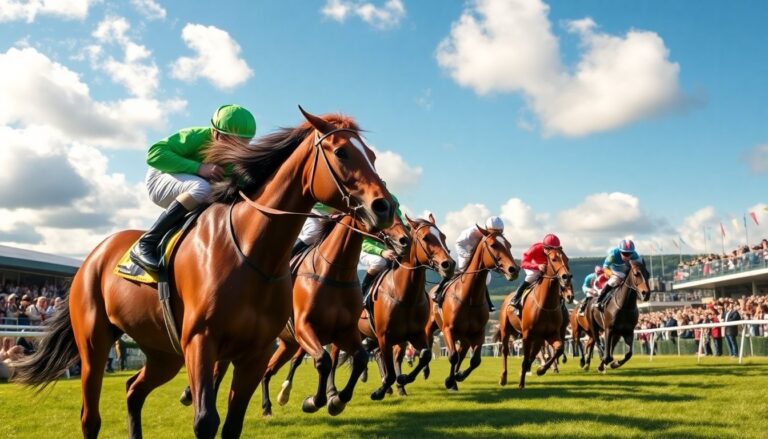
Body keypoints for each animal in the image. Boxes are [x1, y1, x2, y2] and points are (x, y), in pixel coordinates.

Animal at [259, 214, 410, 417]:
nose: (404, 240)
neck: (334, 273)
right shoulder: (304, 327)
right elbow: (324, 361)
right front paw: (313, 402)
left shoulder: (345, 331)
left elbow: (360, 358)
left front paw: (337, 400)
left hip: (287, 344)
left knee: (268, 370)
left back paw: (269, 405)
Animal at [359, 214, 455, 400]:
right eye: (426, 238)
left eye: (444, 237)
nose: (449, 264)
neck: (405, 296)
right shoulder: (384, 336)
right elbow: (390, 371)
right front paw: (379, 391)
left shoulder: (415, 333)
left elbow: (425, 355)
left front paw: (403, 378)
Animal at [426, 227, 519, 392]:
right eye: (494, 245)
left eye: (509, 245)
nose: (513, 269)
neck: (469, 298)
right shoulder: (448, 329)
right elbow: (452, 356)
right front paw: (449, 381)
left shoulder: (478, 333)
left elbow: (475, 360)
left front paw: (458, 376)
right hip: (433, 325)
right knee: (431, 343)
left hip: (465, 337)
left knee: (462, 353)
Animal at [496, 248, 573, 389]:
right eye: (553, 259)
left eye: (567, 258)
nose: (566, 276)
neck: (546, 304)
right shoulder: (527, 334)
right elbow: (526, 358)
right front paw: (521, 384)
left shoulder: (552, 333)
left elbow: (559, 349)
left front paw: (541, 370)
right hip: (505, 330)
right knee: (505, 351)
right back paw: (503, 378)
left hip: (538, 338)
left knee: (536, 353)